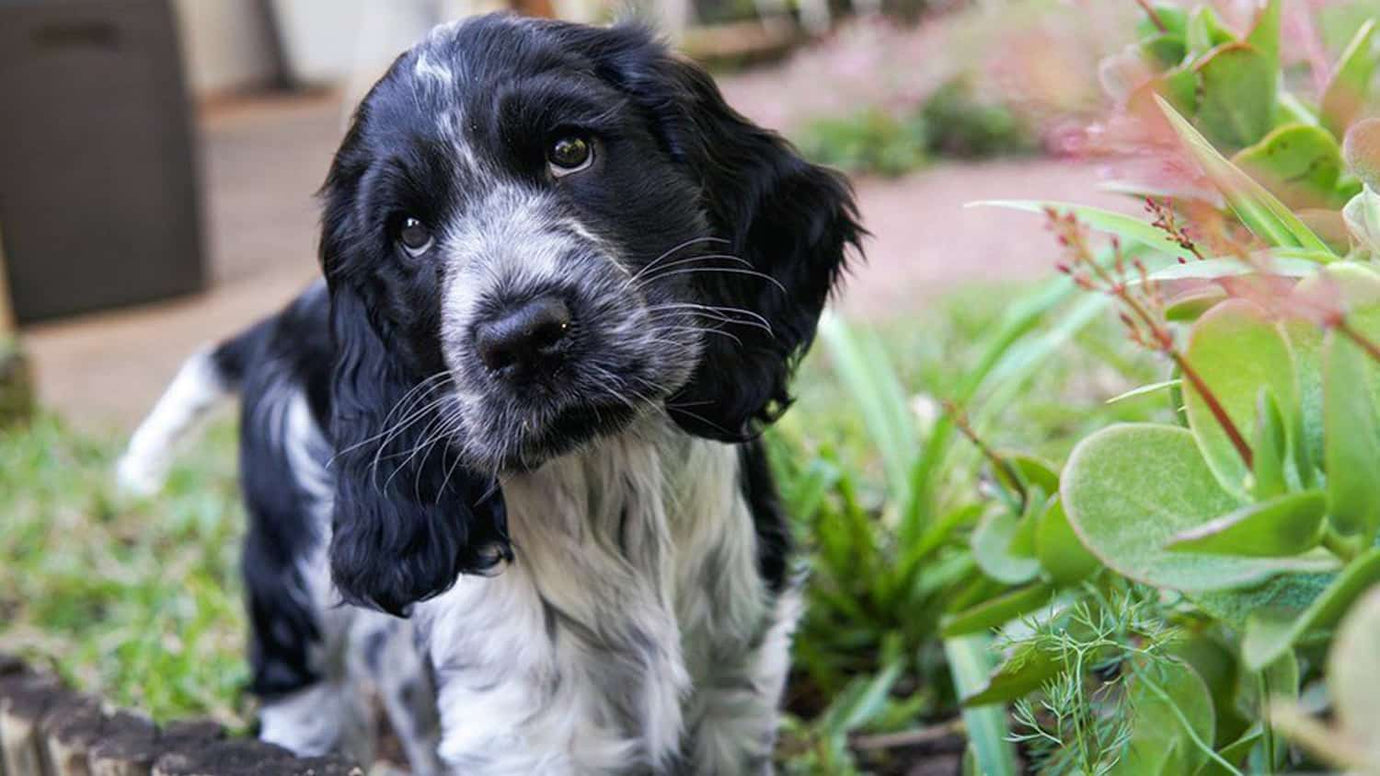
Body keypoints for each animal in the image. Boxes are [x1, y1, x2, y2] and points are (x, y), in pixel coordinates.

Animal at [118, 13, 855, 773]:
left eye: (570, 151)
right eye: (410, 232)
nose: (522, 338)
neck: (605, 476)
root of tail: (283, 321)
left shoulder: (735, 685)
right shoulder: (522, 728)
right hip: (294, 598)